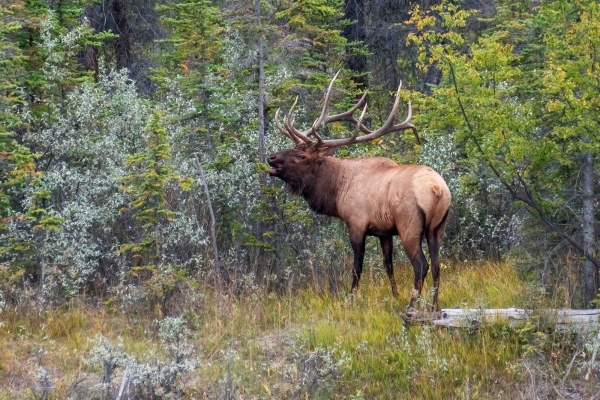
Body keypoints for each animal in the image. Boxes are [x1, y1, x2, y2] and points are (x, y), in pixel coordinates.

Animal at [268, 72, 450, 310]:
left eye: (301, 156)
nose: (271, 157)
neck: (337, 191)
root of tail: (437, 188)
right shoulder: (384, 232)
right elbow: (388, 264)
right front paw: (394, 295)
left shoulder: (356, 223)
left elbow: (357, 266)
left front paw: (351, 298)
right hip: (437, 228)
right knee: (437, 265)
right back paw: (434, 306)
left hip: (409, 225)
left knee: (422, 265)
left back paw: (412, 307)